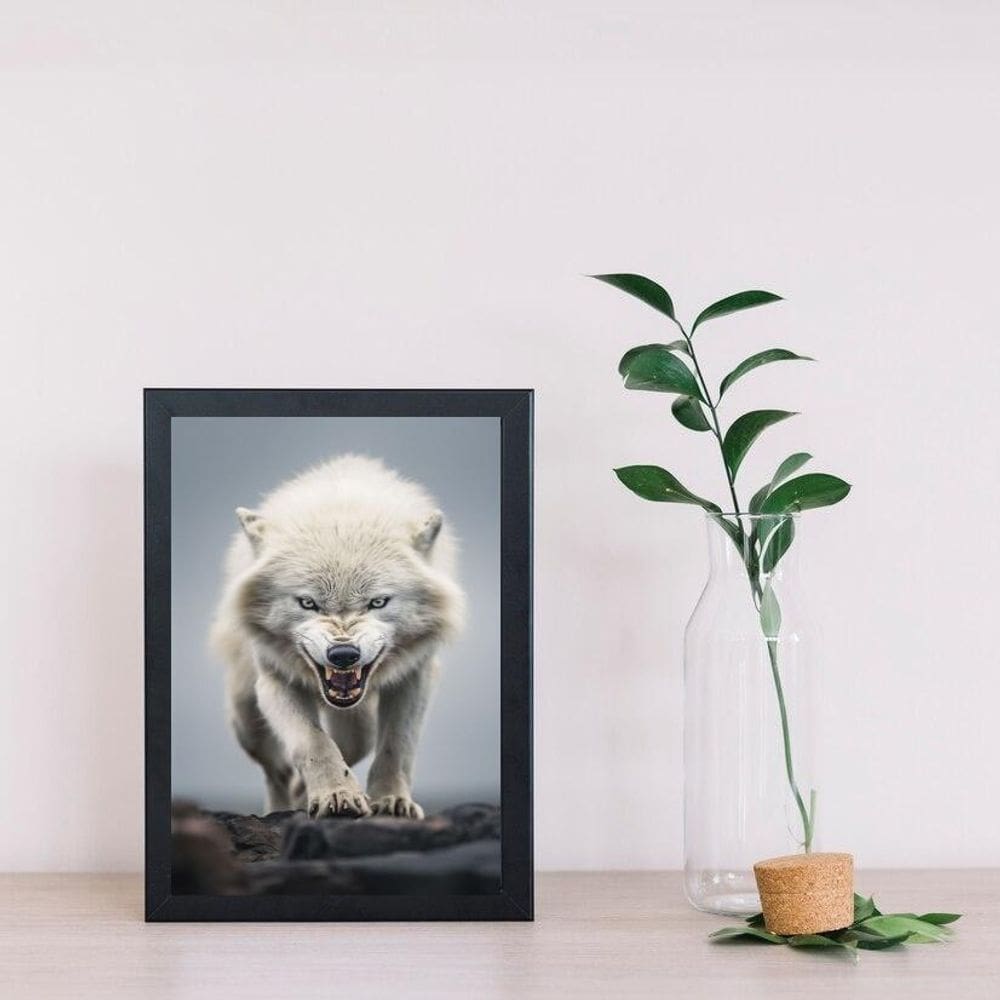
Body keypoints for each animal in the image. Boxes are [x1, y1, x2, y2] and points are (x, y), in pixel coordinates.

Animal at [210, 454, 465, 819]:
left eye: (377, 602)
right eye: (308, 603)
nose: (344, 655)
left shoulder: (416, 676)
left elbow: (396, 745)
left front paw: (391, 801)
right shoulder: (275, 681)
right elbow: (313, 742)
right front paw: (337, 795)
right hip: (247, 719)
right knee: (276, 771)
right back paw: (281, 805)